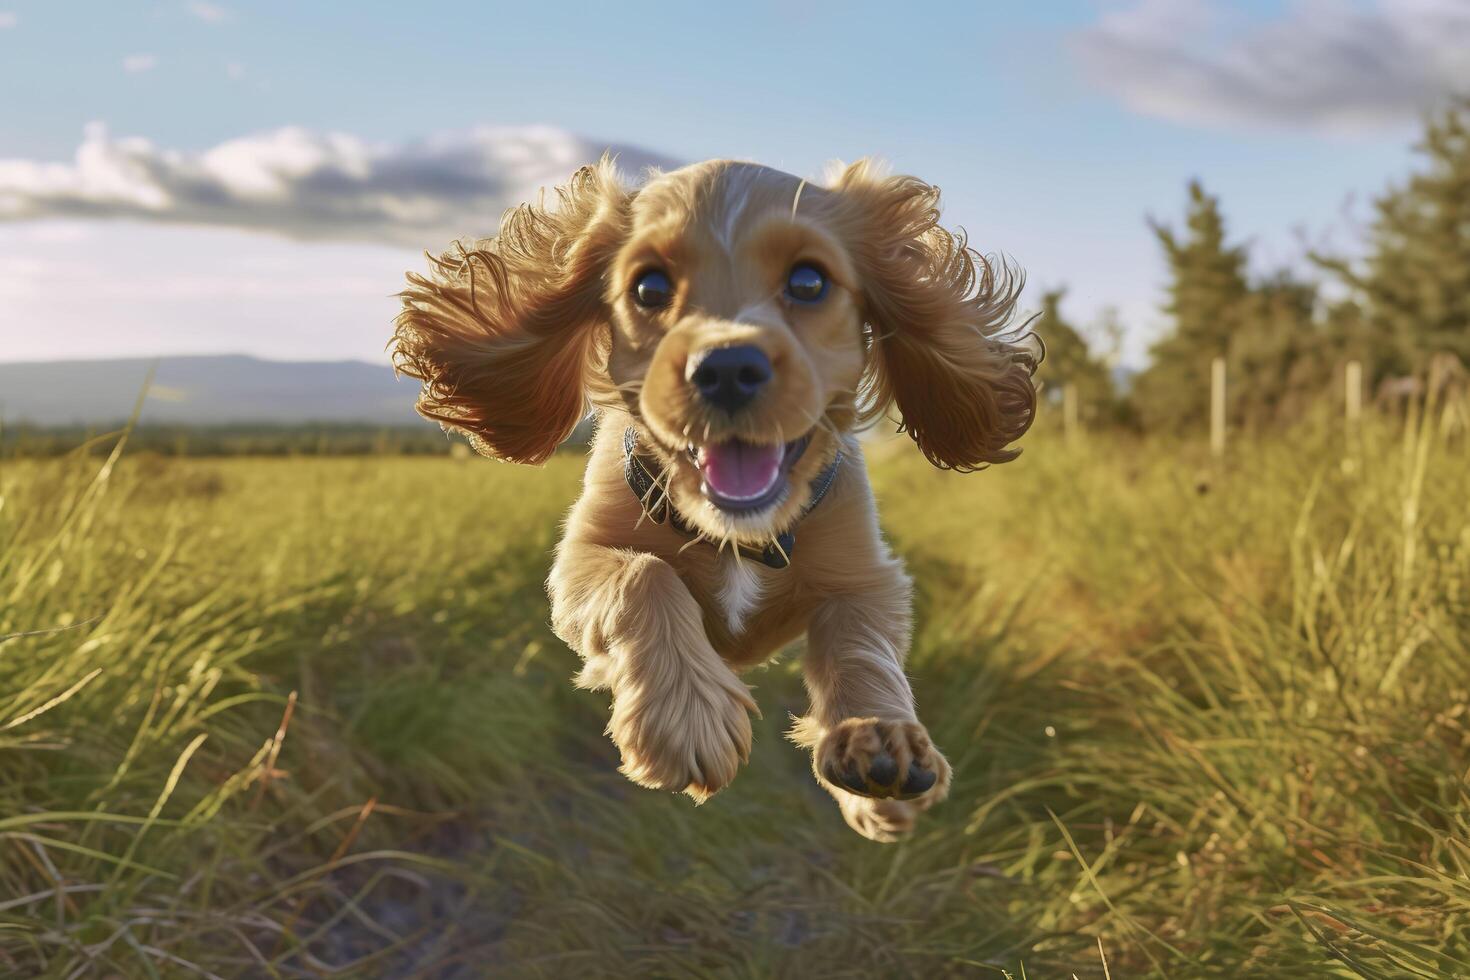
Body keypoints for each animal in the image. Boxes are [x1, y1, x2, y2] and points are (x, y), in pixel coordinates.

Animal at [391, 160, 1034, 846]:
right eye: (648, 287)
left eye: (809, 281)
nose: (726, 368)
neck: (740, 535)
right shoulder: (580, 557)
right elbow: (644, 575)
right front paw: (686, 719)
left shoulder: (866, 573)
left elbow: (860, 640)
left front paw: (878, 739)